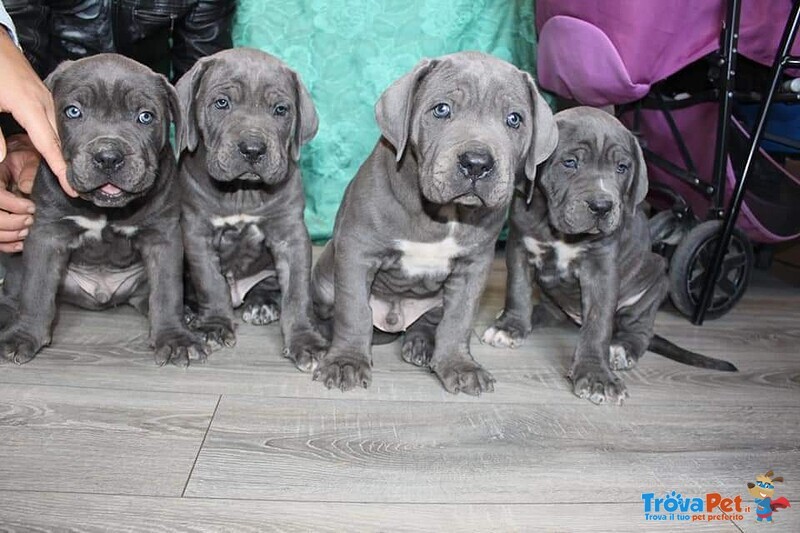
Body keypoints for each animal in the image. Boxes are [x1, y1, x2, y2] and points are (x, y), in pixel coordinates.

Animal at [0, 54, 206, 366]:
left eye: (145, 116)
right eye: (73, 112)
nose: (108, 156)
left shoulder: (163, 237)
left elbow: (167, 291)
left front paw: (174, 337)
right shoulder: (47, 234)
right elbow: (35, 289)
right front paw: (23, 335)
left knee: (150, 296)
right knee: (16, 291)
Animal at [310, 52, 556, 392]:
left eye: (514, 119)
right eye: (441, 109)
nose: (477, 163)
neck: (446, 213)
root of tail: (394, 321)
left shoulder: (472, 267)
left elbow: (458, 320)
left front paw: (459, 365)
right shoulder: (357, 251)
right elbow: (354, 310)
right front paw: (346, 361)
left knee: (431, 319)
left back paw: (422, 343)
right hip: (325, 276)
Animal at [482, 108, 736, 404]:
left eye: (622, 168)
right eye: (570, 162)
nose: (602, 206)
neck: (560, 231)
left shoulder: (600, 270)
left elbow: (598, 324)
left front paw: (596, 376)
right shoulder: (520, 247)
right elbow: (518, 291)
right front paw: (510, 327)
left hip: (655, 277)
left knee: (640, 330)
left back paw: (622, 348)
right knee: (551, 311)